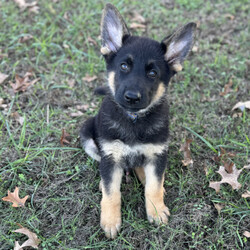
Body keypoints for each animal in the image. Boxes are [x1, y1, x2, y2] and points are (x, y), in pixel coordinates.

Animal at [80, 3, 195, 238]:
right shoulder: (111, 156)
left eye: (152, 73)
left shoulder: (158, 153)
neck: (134, 119)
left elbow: (153, 186)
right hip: (87, 134)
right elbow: (112, 193)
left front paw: (156, 210)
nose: (132, 97)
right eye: (124, 66)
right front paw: (110, 220)